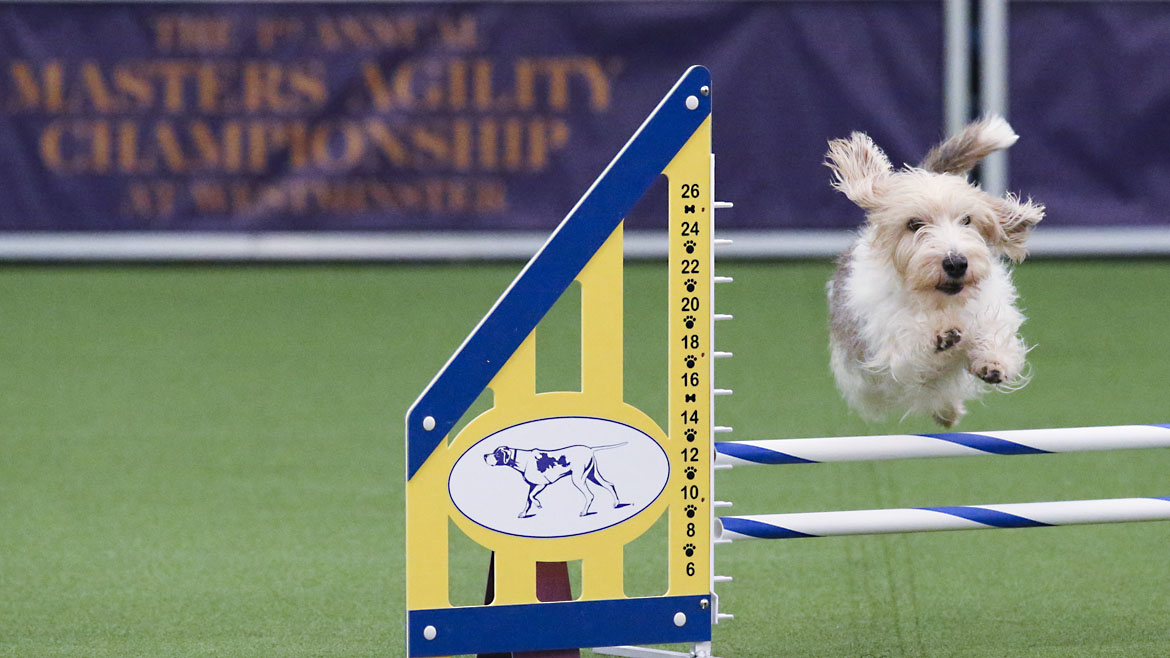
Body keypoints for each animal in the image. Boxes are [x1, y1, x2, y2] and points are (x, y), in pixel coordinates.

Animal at [484, 443, 630, 518]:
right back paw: (616, 503)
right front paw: (524, 513)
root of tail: (589, 449)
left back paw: (584, 512)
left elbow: (531, 497)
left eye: (496, 454)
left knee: (590, 495)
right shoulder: (532, 486)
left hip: (578, 479)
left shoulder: (542, 484)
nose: (485, 455)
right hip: (593, 476)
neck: (523, 460)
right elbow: (528, 500)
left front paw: (538, 504)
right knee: (610, 485)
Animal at [824, 116, 1044, 427]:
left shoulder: (988, 306)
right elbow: (911, 345)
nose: (956, 263)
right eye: (914, 224)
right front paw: (939, 337)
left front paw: (991, 361)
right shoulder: (889, 347)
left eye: (966, 220)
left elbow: (992, 330)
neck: (940, 303)